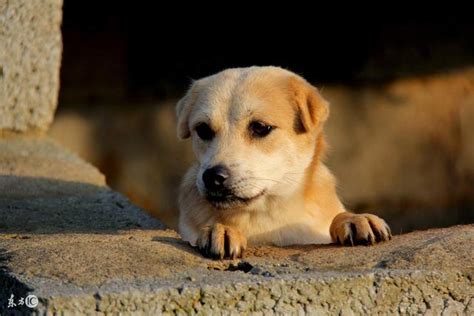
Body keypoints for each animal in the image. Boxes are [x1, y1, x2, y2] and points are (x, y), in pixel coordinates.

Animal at [176, 66, 390, 260]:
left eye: (260, 127)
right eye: (203, 130)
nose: (213, 177)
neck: (267, 215)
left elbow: (338, 216)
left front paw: (356, 218)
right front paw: (221, 229)